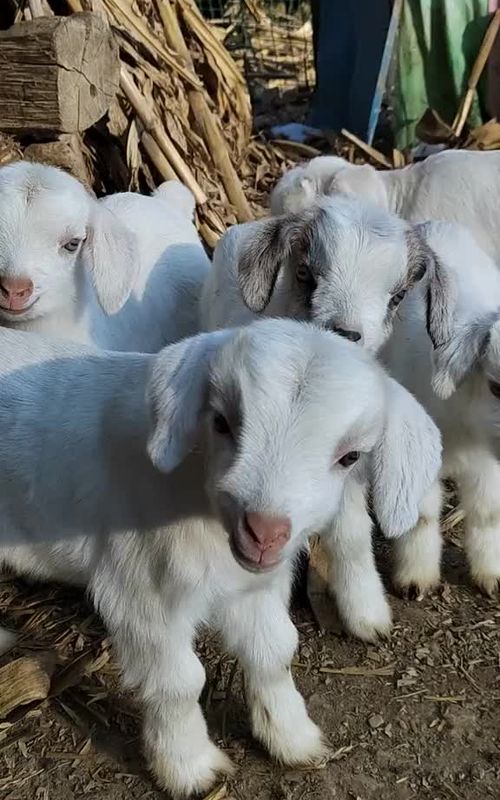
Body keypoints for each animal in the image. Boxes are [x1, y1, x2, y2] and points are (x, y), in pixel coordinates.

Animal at [0, 318, 441, 795]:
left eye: (351, 457)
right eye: (221, 422)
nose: (264, 532)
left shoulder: (255, 586)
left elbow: (275, 650)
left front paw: (293, 737)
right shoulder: (141, 591)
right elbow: (179, 681)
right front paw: (190, 768)